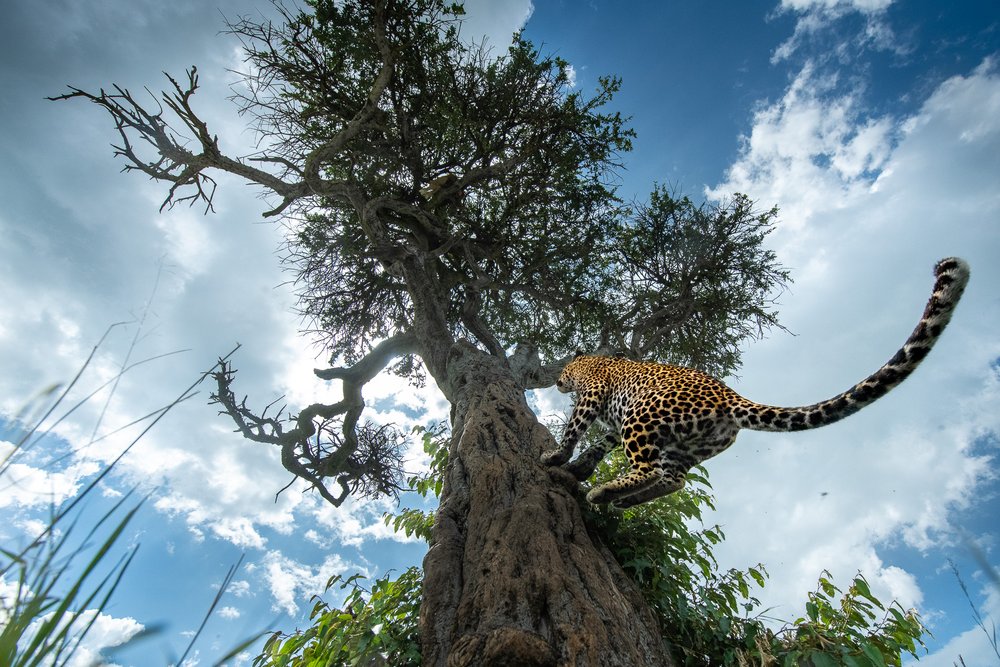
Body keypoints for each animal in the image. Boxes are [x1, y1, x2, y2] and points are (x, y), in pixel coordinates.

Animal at [544, 258, 972, 508]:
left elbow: (575, 429)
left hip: (643, 417)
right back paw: (623, 500)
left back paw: (605, 492)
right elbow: (600, 443)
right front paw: (581, 467)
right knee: (673, 480)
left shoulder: (594, 394)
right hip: (681, 445)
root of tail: (730, 398)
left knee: (652, 470)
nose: (557, 380)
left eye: (566, 372)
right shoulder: (615, 421)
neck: (593, 360)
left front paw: (558, 458)